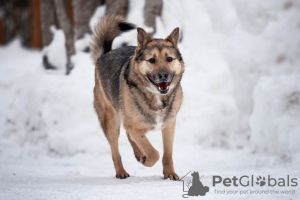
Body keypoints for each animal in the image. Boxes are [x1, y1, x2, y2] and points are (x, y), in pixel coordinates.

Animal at [90, 15, 184, 180]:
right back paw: (121, 171)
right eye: (152, 60)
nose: (163, 75)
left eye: (169, 59)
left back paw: (139, 155)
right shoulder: (133, 126)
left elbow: (167, 154)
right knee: (115, 151)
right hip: (111, 121)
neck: (155, 97)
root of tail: (104, 55)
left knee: (129, 137)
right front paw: (147, 160)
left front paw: (169, 173)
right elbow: (153, 153)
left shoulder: (169, 125)